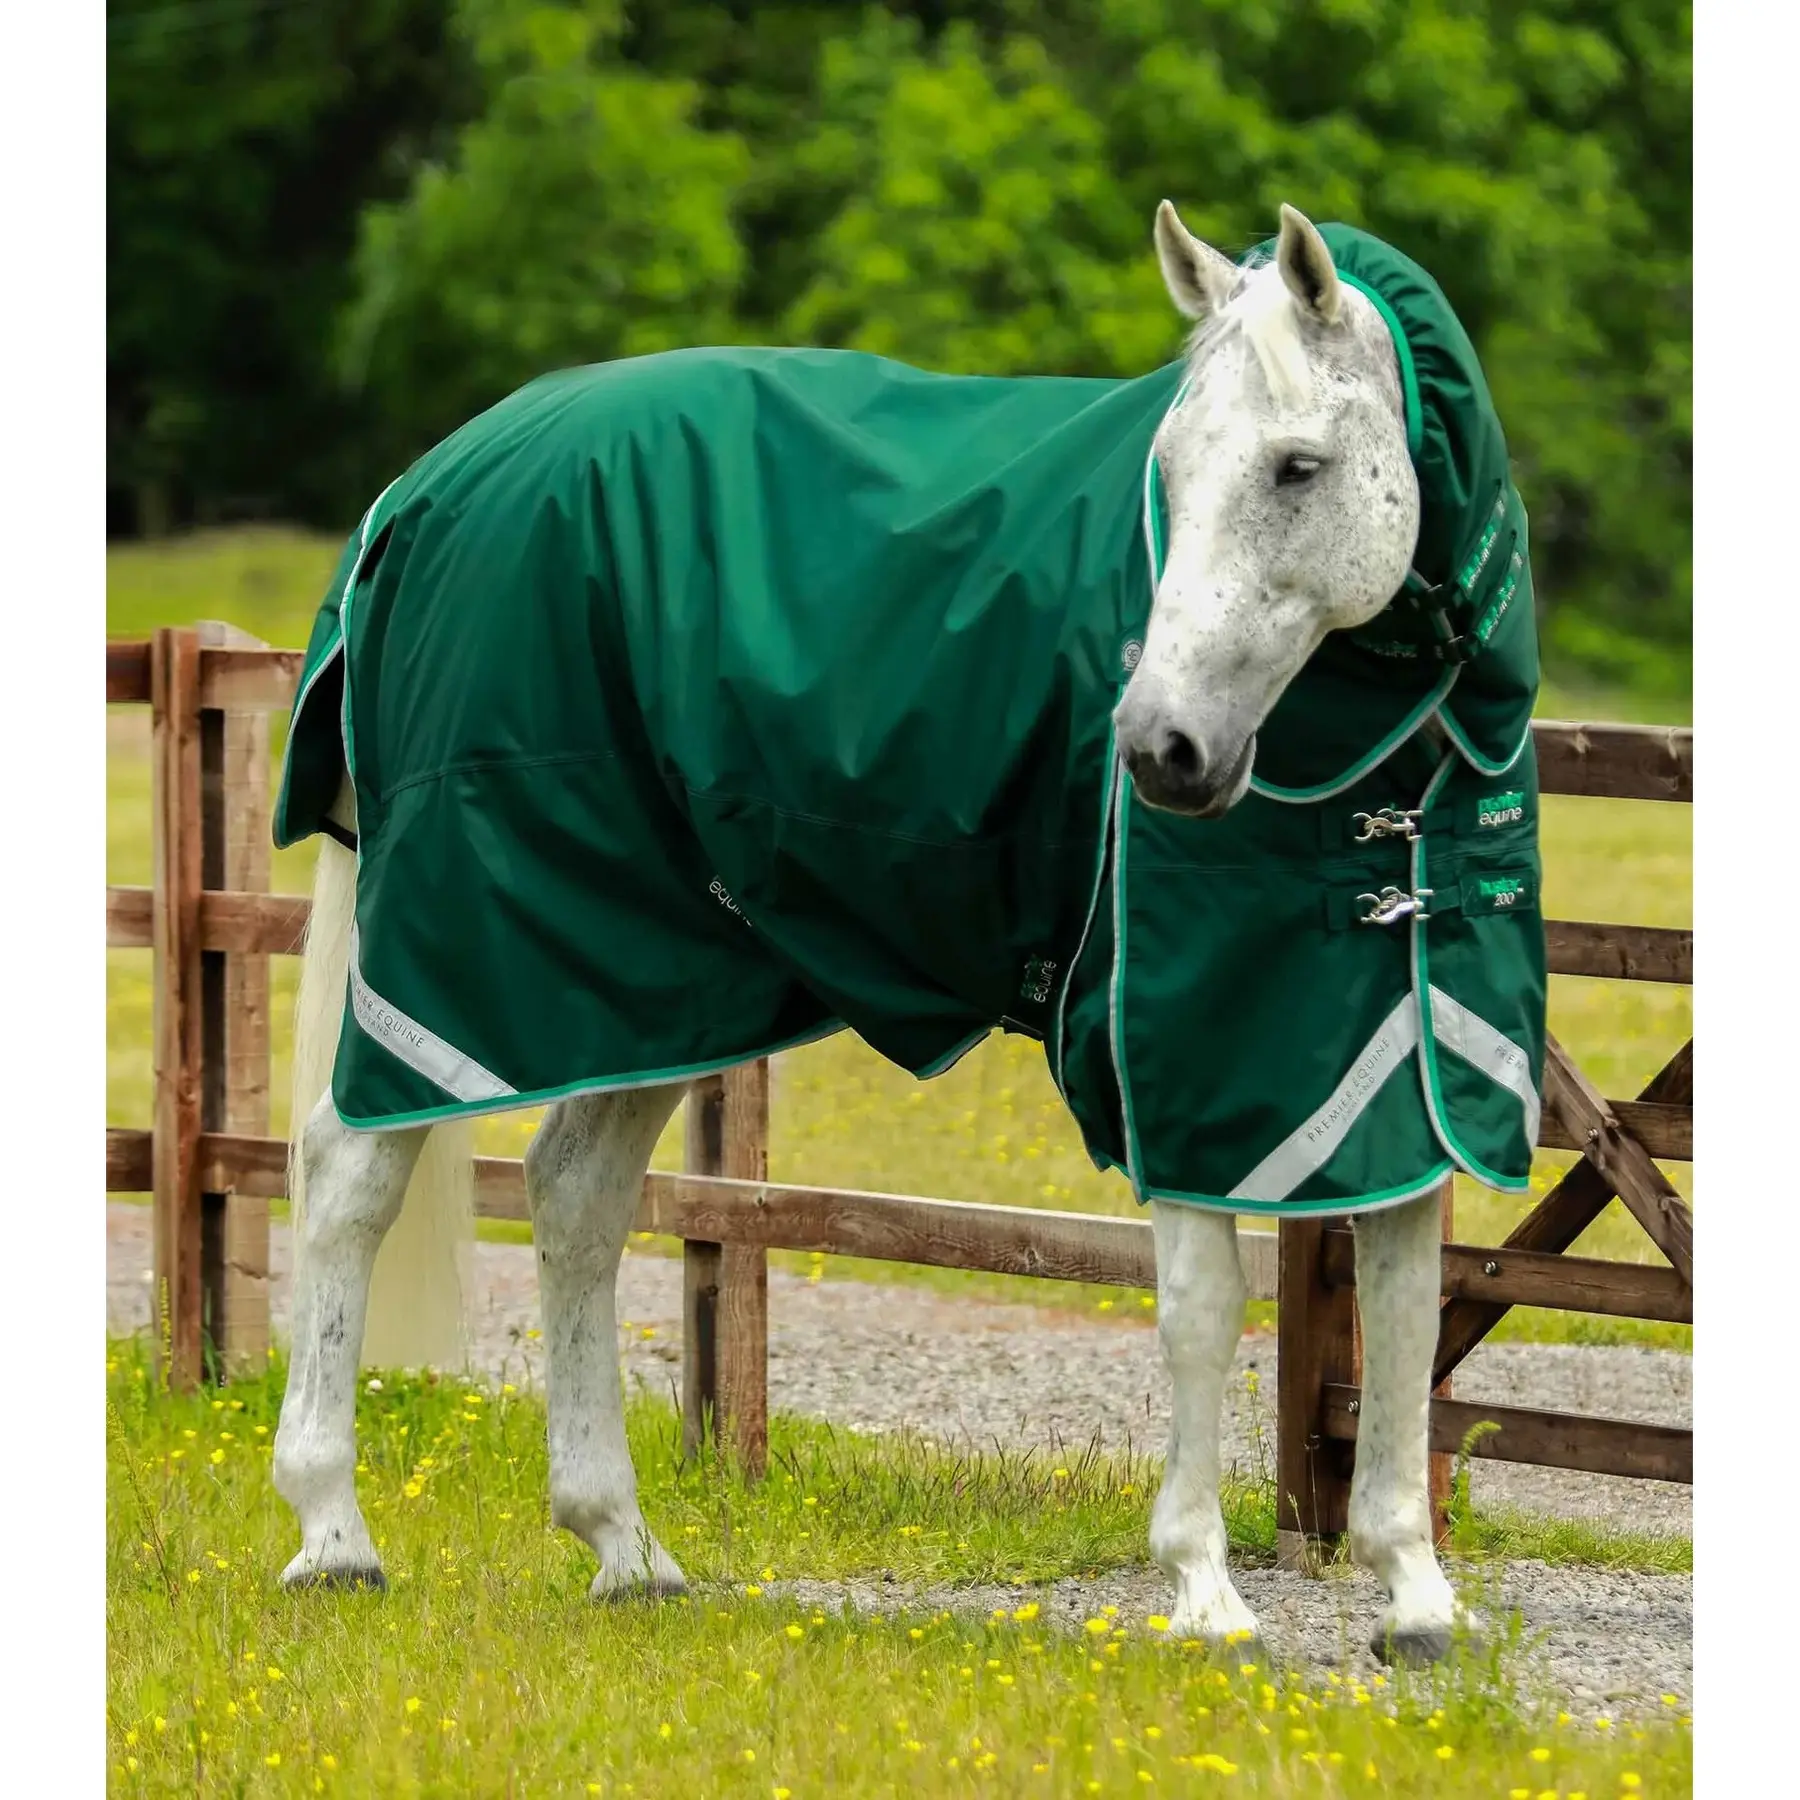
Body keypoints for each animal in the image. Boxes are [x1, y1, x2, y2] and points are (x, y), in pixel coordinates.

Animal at [271, 202, 1504, 1668]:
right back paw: (334, 1534)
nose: (1159, 747)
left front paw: (1415, 1593)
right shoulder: (1174, 1056)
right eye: (1164, 470)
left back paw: (623, 1545)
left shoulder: (1378, 1053)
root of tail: (423, 487)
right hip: (468, 941)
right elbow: (1207, 1310)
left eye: (1297, 466)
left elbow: (1404, 1297)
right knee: (351, 1172)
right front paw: (1205, 1595)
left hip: (647, 976)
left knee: (574, 1196)